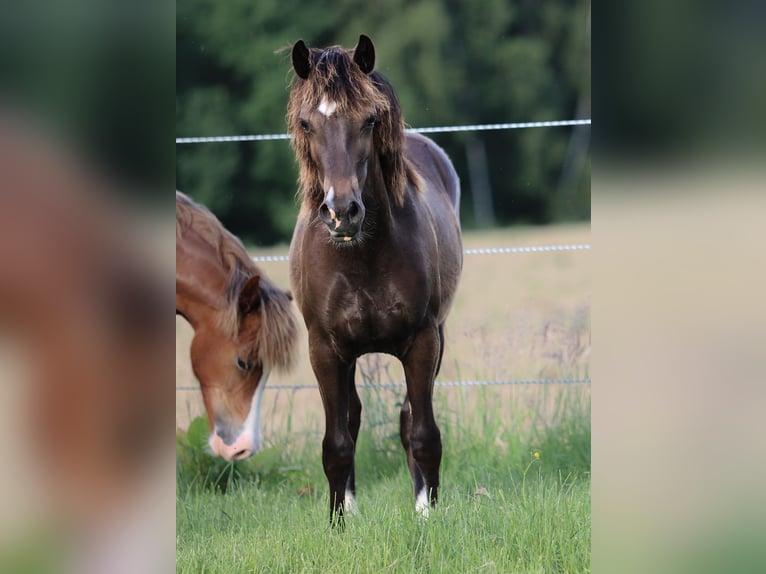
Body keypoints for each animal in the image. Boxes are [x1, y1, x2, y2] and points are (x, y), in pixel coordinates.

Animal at [286, 33, 462, 524]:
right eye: (306, 123)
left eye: (369, 121)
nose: (342, 212)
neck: (361, 257)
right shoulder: (324, 349)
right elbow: (336, 443)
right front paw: (338, 523)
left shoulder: (423, 341)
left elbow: (422, 433)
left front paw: (427, 514)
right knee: (351, 419)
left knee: (407, 420)